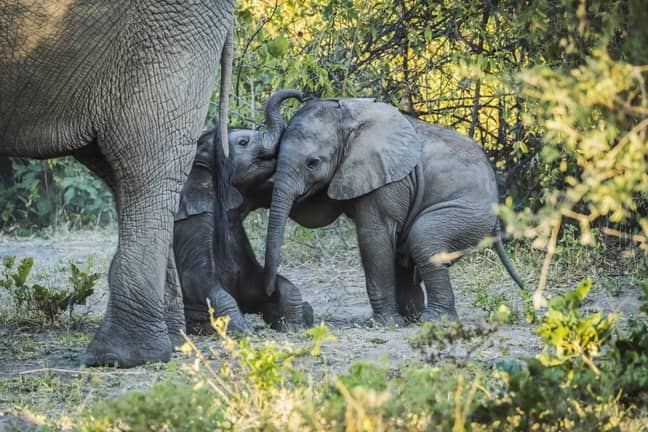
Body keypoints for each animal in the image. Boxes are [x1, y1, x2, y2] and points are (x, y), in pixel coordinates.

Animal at [173, 128, 312, 334]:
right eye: (243, 142)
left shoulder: (248, 196)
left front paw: (295, 326)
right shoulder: (194, 219)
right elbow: (197, 277)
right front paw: (243, 330)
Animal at [260, 98, 524, 326]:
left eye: (312, 163)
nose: (271, 292)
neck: (349, 122)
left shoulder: (388, 179)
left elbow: (373, 235)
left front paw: (386, 323)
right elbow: (315, 215)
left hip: (467, 213)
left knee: (425, 239)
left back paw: (432, 319)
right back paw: (413, 317)